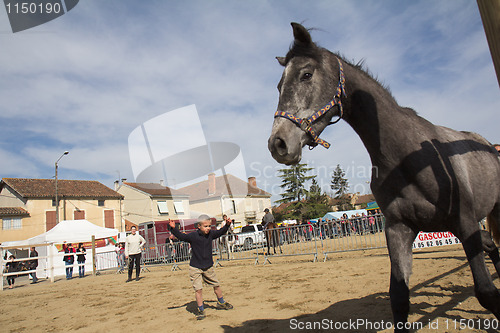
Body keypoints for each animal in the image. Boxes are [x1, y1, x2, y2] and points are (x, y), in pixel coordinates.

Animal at [270, 22, 500, 330]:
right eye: (279, 85)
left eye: (306, 74)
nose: (278, 144)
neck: (406, 156)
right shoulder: (399, 228)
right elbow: (399, 299)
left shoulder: (464, 221)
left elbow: (486, 292)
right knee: (491, 244)